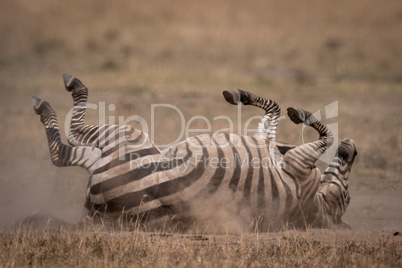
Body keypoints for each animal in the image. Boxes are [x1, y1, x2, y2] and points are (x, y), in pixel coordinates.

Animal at [33, 74, 356, 231]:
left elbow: (322, 136)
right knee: (64, 152)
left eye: (347, 198)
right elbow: (272, 115)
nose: (352, 148)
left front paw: (298, 113)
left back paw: (55, 96)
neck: (314, 207)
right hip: (111, 156)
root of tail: (97, 214)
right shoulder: (273, 147)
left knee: (65, 145)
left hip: (128, 140)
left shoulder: (297, 163)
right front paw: (245, 96)